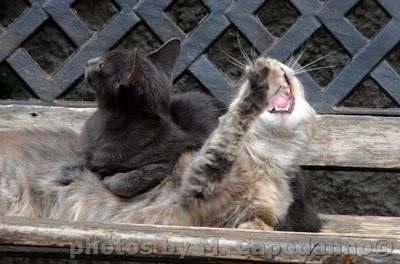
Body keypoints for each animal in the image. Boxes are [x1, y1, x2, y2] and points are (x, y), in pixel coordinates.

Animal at [0, 56, 318, 230]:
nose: (278, 65)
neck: (267, 160)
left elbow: (264, 221)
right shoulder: (198, 182)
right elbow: (231, 125)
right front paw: (258, 79)